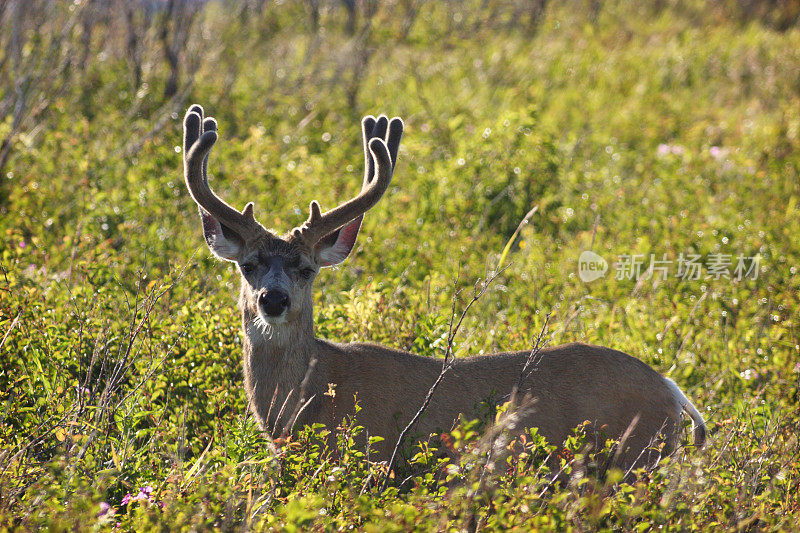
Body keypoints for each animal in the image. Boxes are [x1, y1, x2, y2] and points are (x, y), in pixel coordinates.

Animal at [183, 104, 708, 470]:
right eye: (248, 265)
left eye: (307, 268)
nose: (273, 299)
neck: (304, 404)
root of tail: (671, 389)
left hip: (635, 457)